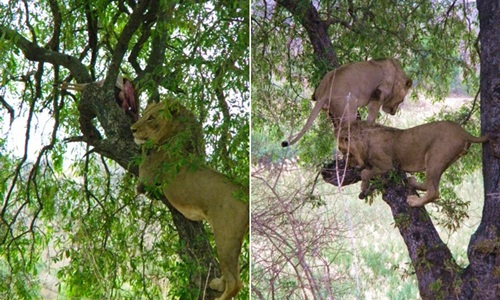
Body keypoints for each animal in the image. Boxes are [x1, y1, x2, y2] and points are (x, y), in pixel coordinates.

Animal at [131, 101, 250, 300]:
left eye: (151, 118)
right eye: (144, 113)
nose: (132, 129)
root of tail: (246, 192)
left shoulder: (146, 180)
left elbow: (144, 156)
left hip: (225, 235)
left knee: (235, 282)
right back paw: (217, 283)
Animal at [284, 58, 412, 147]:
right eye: (401, 100)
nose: (393, 112)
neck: (396, 73)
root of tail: (325, 92)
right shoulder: (379, 93)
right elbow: (372, 117)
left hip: (331, 109)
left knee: (336, 131)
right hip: (348, 110)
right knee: (343, 131)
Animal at [336, 120, 488, 206]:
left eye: (344, 152)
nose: (349, 165)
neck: (365, 138)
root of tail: (464, 132)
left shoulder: (388, 165)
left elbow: (365, 172)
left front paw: (363, 186)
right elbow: (366, 171)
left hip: (434, 157)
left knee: (434, 192)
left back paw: (414, 202)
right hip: (440, 162)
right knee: (428, 184)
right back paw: (412, 182)